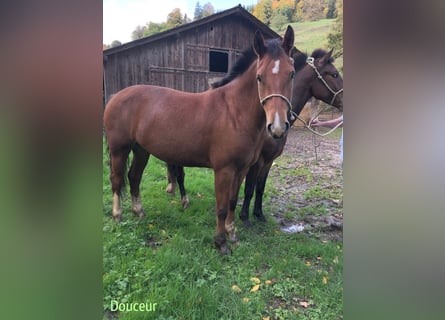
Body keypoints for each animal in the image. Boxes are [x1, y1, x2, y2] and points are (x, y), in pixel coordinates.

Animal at [105, 26, 294, 254]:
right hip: (119, 149)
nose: (277, 127)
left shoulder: (241, 169)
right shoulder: (224, 170)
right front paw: (221, 243)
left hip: (141, 150)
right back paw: (118, 215)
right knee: (116, 180)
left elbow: (232, 201)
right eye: (259, 77)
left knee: (134, 177)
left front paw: (232, 235)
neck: (234, 112)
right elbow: (221, 207)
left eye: (291, 74)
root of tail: (115, 96)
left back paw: (138, 212)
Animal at [165, 47, 342, 228]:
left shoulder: (268, 161)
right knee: (179, 174)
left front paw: (259, 214)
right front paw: (245, 217)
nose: (344, 101)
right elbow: (249, 188)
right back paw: (183, 200)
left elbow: (260, 187)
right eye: (334, 74)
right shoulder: (256, 161)